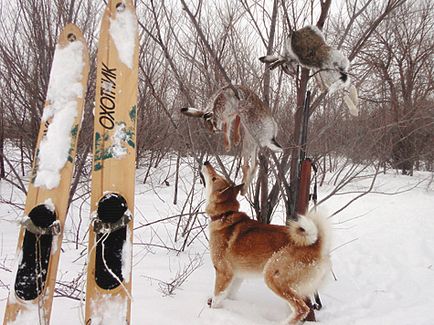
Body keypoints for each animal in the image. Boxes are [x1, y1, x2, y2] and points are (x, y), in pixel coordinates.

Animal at [202, 161, 330, 322]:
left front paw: (213, 312)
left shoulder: (223, 272)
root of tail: (316, 245)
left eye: (214, 178)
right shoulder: (236, 276)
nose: (206, 162)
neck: (224, 215)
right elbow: (229, 295)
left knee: (302, 309)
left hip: (273, 277)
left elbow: (217, 298)